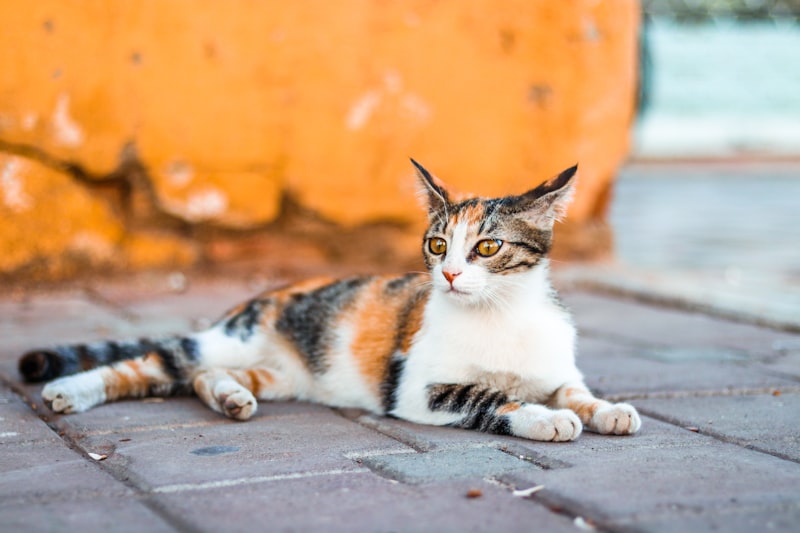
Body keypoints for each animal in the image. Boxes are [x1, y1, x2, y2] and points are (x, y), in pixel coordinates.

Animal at [18, 158, 640, 440]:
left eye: (488, 246)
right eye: (438, 244)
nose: (449, 274)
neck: (500, 315)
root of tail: (263, 296)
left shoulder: (557, 368)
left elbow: (576, 391)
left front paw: (607, 410)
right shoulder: (417, 389)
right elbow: (487, 397)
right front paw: (543, 418)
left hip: (282, 374)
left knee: (203, 378)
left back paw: (230, 397)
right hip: (225, 341)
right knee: (154, 362)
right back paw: (68, 390)